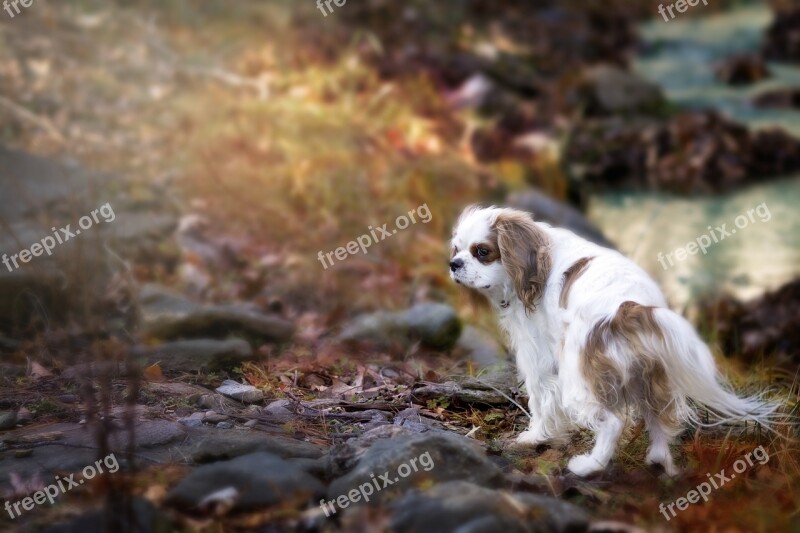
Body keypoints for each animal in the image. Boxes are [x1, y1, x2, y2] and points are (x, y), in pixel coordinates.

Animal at [450, 206, 776, 476]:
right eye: (456, 249)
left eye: (482, 251)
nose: (453, 263)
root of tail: (630, 308)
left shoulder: (536, 355)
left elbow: (540, 400)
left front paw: (535, 437)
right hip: (649, 375)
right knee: (659, 417)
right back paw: (658, 460)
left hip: (578, 377)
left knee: (613, 423)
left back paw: (589, 465)